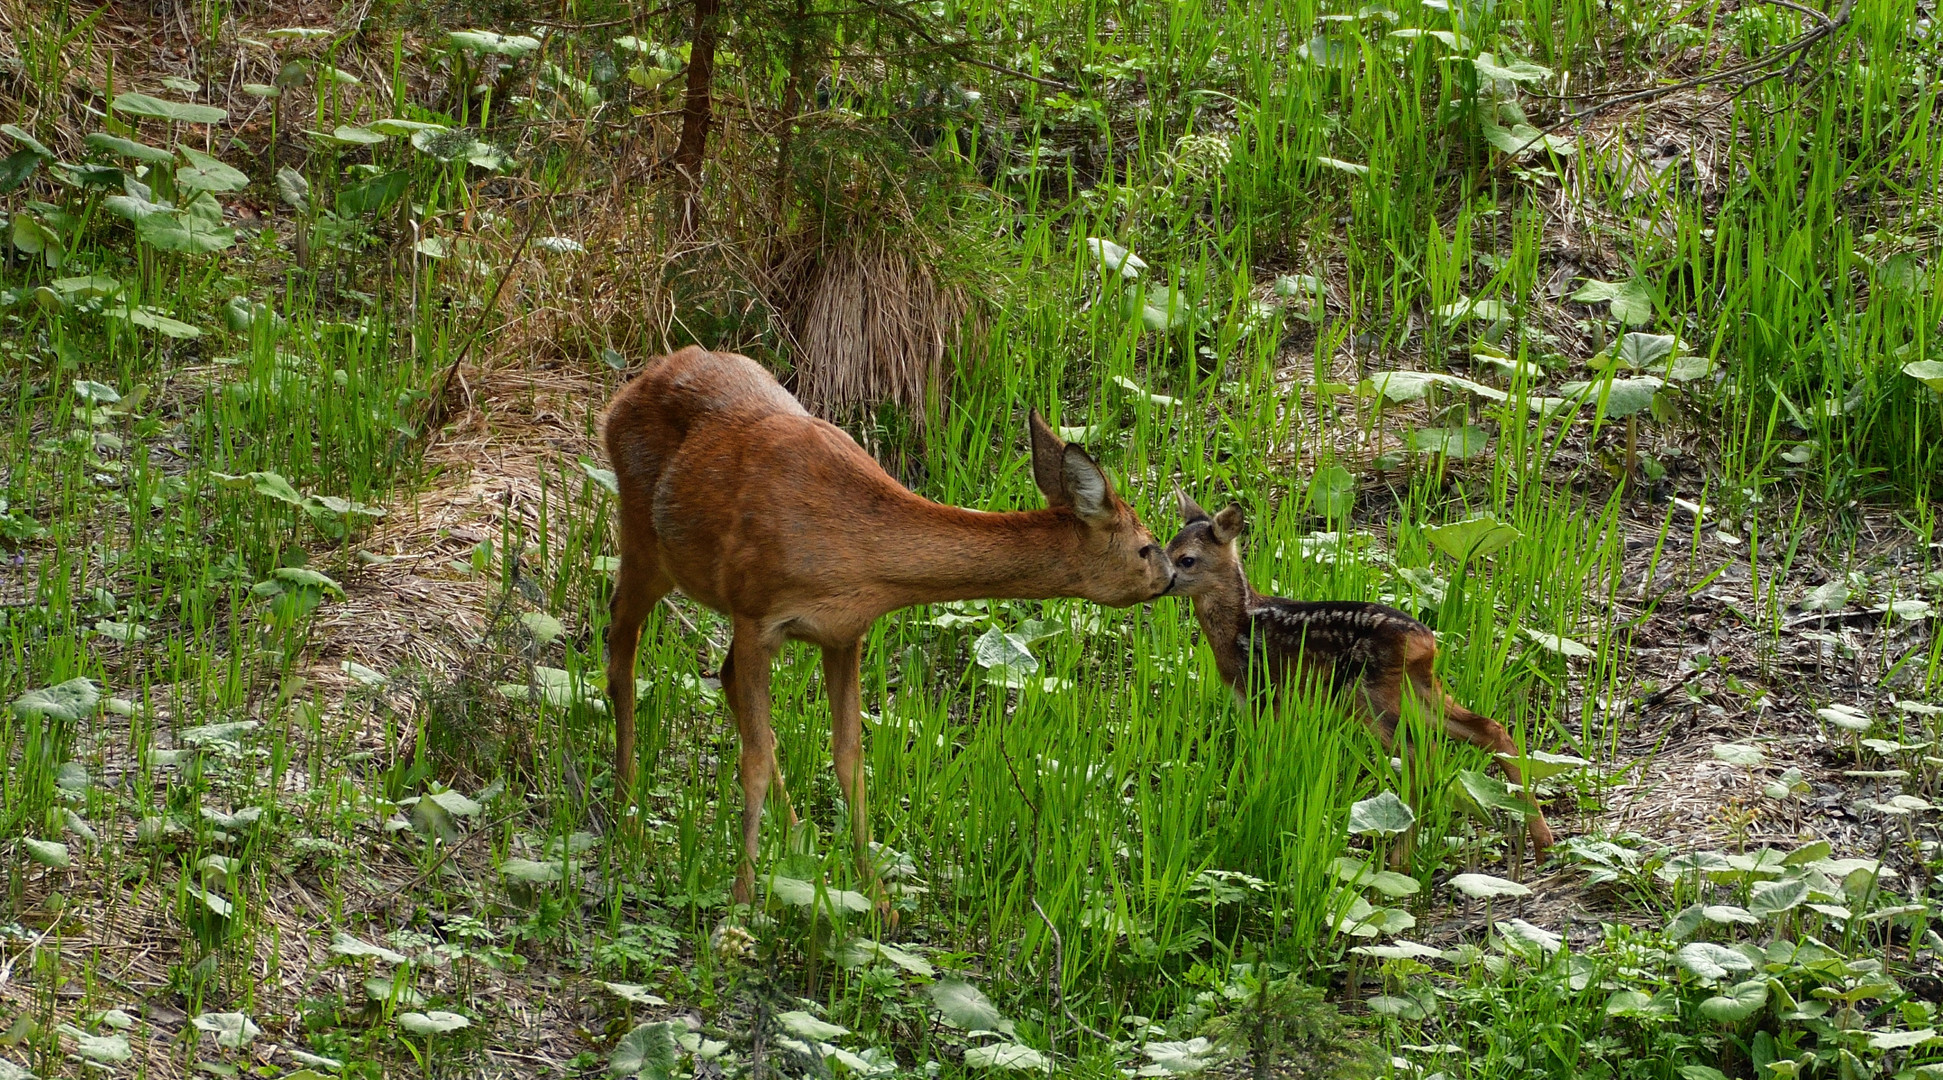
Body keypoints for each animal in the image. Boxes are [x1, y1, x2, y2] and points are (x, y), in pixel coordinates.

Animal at [602, 349, 1165, 905]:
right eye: (1145, 546)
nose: (1171, 573)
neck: (859, 558)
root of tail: (630, 388)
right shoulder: (755, 612)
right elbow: (754, 760)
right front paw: (741, 899)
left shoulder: (843, 632)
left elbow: (849, 756)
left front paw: (877, 897)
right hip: (643, 536)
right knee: (620, 645)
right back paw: (626, 819)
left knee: (721, 675)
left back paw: (796, 835)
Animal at [1158, 497, 1554, 862]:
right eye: (1165, 548)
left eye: (1187, 559)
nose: (1158, 582)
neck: (1239, 625)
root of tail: (1427, 643)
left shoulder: (1263, 693)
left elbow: (1260, 758)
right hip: (1418, 688)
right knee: (1485, 728)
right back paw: (1541, 842)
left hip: (1368, 695)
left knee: (1422, 754)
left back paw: (1401, 858)